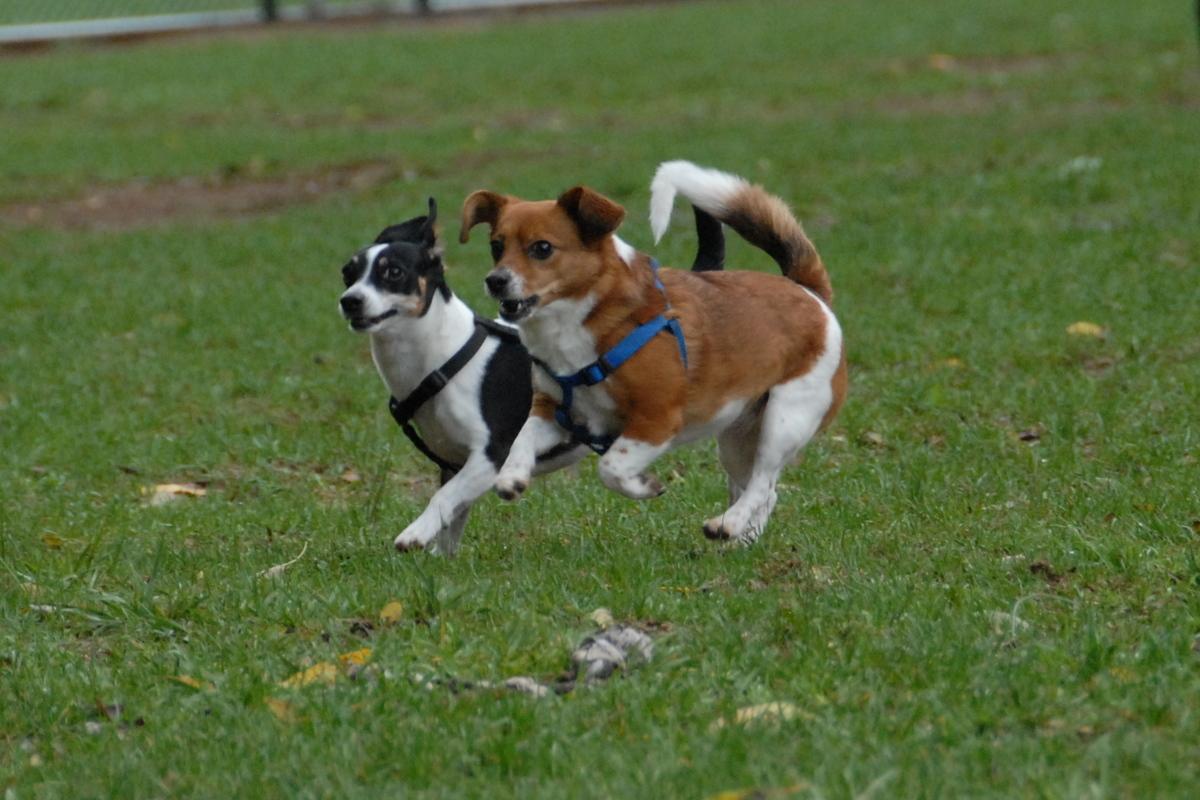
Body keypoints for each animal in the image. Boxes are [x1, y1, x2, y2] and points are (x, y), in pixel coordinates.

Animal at [343, 196, 724, 554]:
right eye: (347, 274)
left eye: (393, 273)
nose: (350, 300)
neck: (442, 358)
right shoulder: (453, 464)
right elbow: (452, 516)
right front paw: (441, 559)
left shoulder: (489, 456)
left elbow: (443, 498)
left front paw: (414, 534)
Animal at [458, 161, 844, 544]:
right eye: (496, 246)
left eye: (542, 248)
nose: (495, 280)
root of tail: (808, 291)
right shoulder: (555, 411)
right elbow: (522, 438)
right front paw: (512, 476)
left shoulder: (656, 420)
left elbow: (610, 467)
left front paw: (644, 485)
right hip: (737, 435)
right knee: (763, 491)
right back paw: (739, 536)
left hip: (785, 420)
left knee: (763, 480)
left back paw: (728, 523)